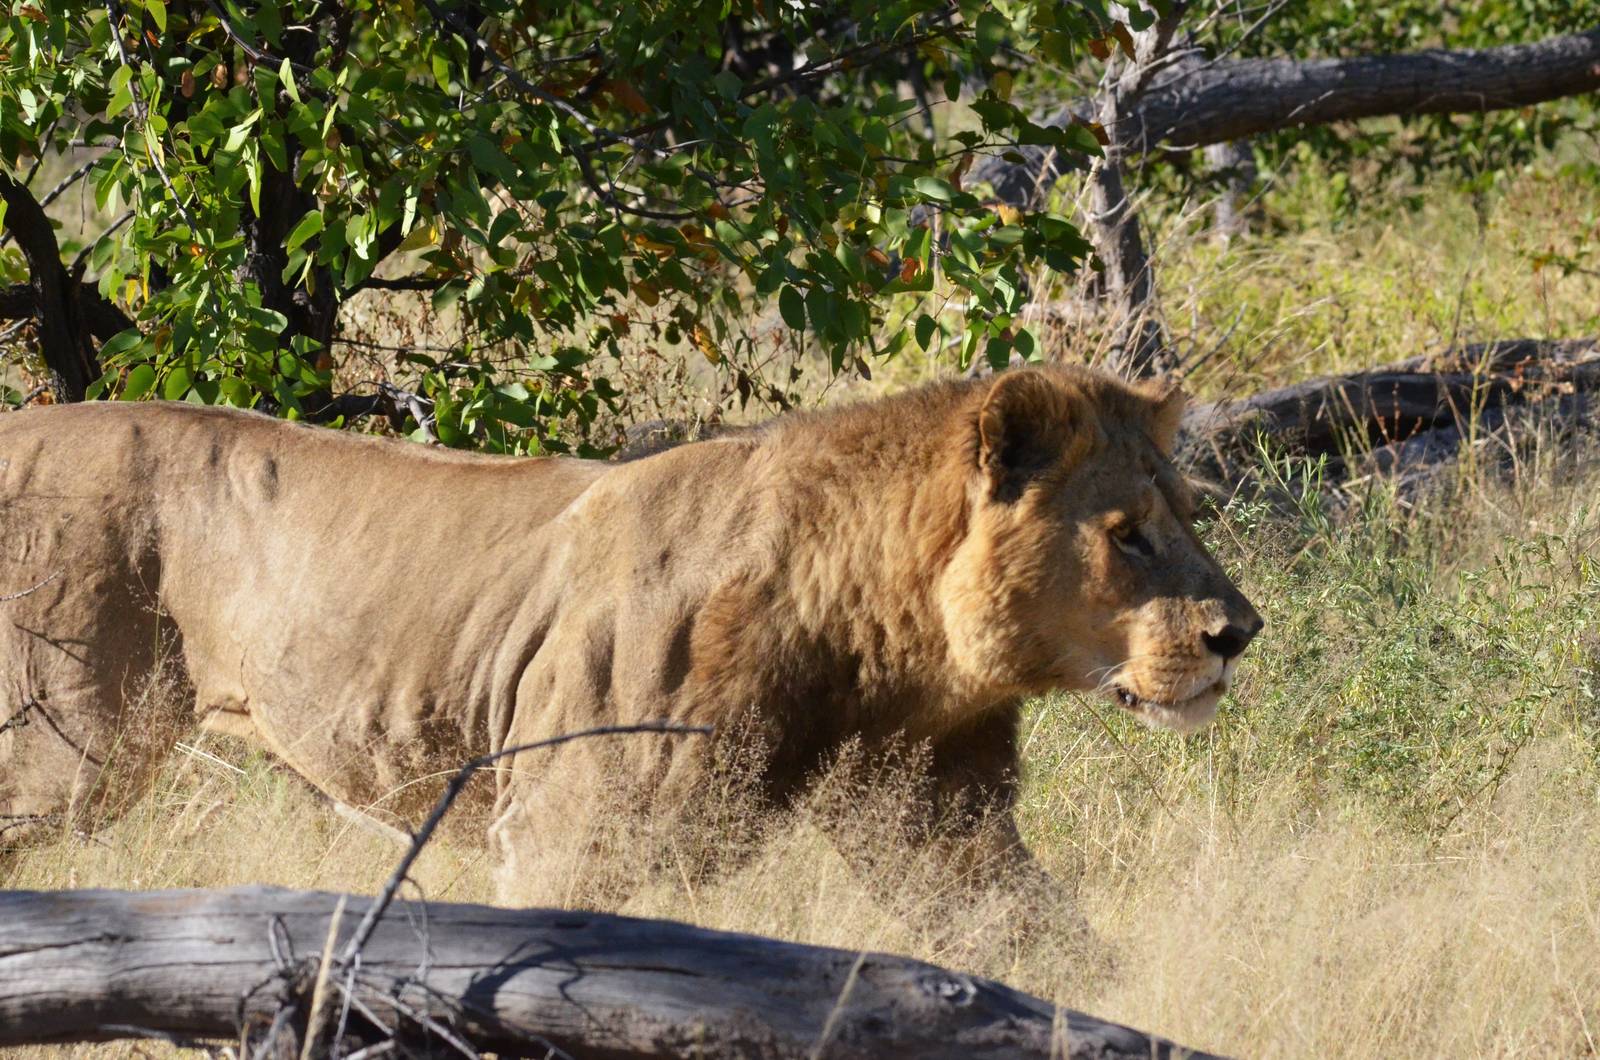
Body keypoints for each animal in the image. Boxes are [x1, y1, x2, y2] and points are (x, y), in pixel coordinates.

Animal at [0, 365, 1260, 903]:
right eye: (1128, 535)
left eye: (1185, 514)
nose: (1240, 632)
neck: (883, 636)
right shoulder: (567, 837)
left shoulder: (942, 822)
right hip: (64, 749)